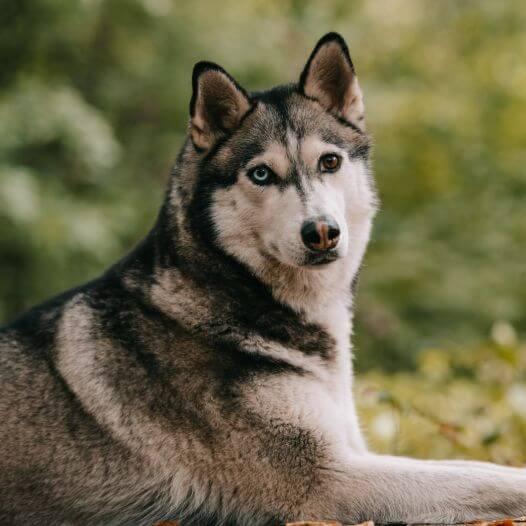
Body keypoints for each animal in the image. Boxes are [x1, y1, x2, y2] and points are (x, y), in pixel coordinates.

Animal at [1, 34, 526, 526]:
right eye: (260, 174)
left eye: (330, 162)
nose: (322, 232)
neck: (236, 294)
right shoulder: (329, 482)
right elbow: (484, 478)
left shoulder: (351, 452)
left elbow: (478, 468)